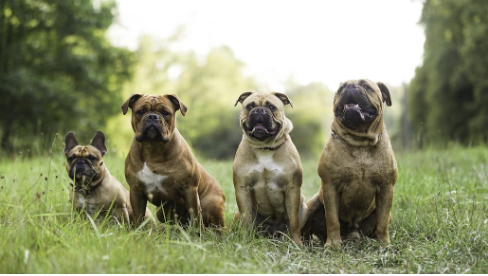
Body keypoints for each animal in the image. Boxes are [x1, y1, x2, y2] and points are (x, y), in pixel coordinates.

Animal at [122, 94, 225, 227]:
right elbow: (139, 216)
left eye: (165, 113)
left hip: (211, 205)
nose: (152, 116)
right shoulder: (136, 191)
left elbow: (195, 215)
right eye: (140, 112)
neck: (153, 147)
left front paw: (197, 231)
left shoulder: (189, 189)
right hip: (160, 212)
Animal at [233, 91, 308, 245]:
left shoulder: (292, 189)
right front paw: (245, 240)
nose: (259, 111)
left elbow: (294, 221)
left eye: (271, 107)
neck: (264, 147)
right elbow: (246, 218)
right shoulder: (242, 188)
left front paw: (296, 243)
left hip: (304, 207)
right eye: (250, 106)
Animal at [304, 80, 400, 246]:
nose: (350, 87)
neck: (360, 141)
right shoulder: (330, 187)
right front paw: (333, 244)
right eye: (341, 89)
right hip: (312, 204)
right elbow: (332, 219)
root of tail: (352, 231)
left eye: (366, 86)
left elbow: (382, 222)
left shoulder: (386, 188)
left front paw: (384, 244)